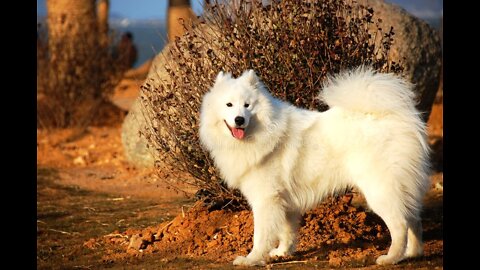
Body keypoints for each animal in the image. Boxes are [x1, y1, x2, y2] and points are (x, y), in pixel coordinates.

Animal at [199, 67, 432, 266]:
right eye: (229, 105)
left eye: (247, 105)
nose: (239, 119)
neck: (261, 131)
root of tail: (396, 118)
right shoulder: (283, 200)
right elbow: (286, 230)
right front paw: (282, 252)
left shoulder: (266, 199)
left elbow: (261, 235)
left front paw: (252, 259)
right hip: (401, 188)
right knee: (414, 219)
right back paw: (412, 254)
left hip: (379, 190)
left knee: (400, 224)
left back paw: (391, 258)